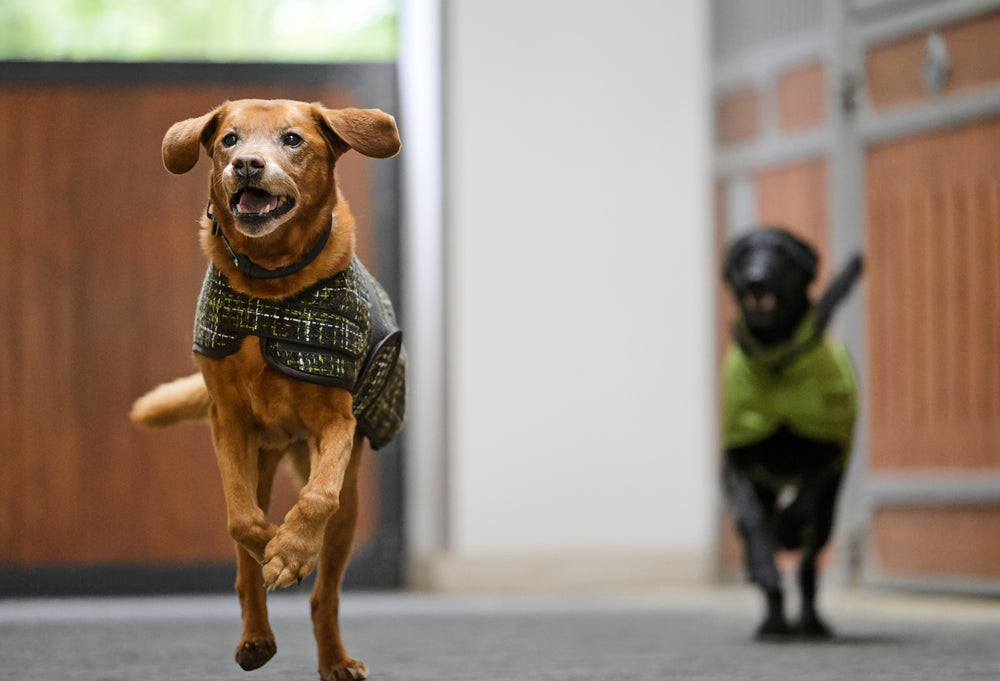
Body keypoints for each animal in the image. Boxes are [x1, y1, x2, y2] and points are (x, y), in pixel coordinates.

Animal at [131, 97, 404, 680]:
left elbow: (317, 497)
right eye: (228, 139)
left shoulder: (337, 423)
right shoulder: (229, 422)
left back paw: (334, 657)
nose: (247, 165)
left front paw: (294, 549)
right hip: (260, 459)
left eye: (293, 139)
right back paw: (256, 637)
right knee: (244, 562)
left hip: (347, 507)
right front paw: (275, 549)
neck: (271, 288)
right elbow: (242, 521)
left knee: (326, 592)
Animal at [724, 227, 864, 636]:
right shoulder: (732, 460)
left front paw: (786, 531)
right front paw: (761, 563)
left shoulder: (829, 450)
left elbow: (804, 499)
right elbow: (749, 517)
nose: (755, 278)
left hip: (830, 511)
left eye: (783, 255)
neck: (776, 363)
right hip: (766, 488)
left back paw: (810, 621)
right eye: (743, 254)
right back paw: (772, 620)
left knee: (808, 565)